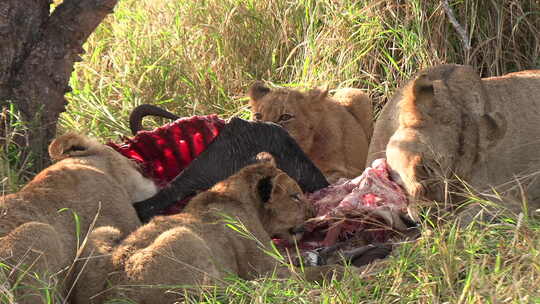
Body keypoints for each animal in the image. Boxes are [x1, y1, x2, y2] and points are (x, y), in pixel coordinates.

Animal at [87, 154, 342, 304]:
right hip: (182, 237)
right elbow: (322, 272)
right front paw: (345, 272)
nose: (312, 211)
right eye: (295, 196)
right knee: (236, 292)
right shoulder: (271, 271)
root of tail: (114, 296)